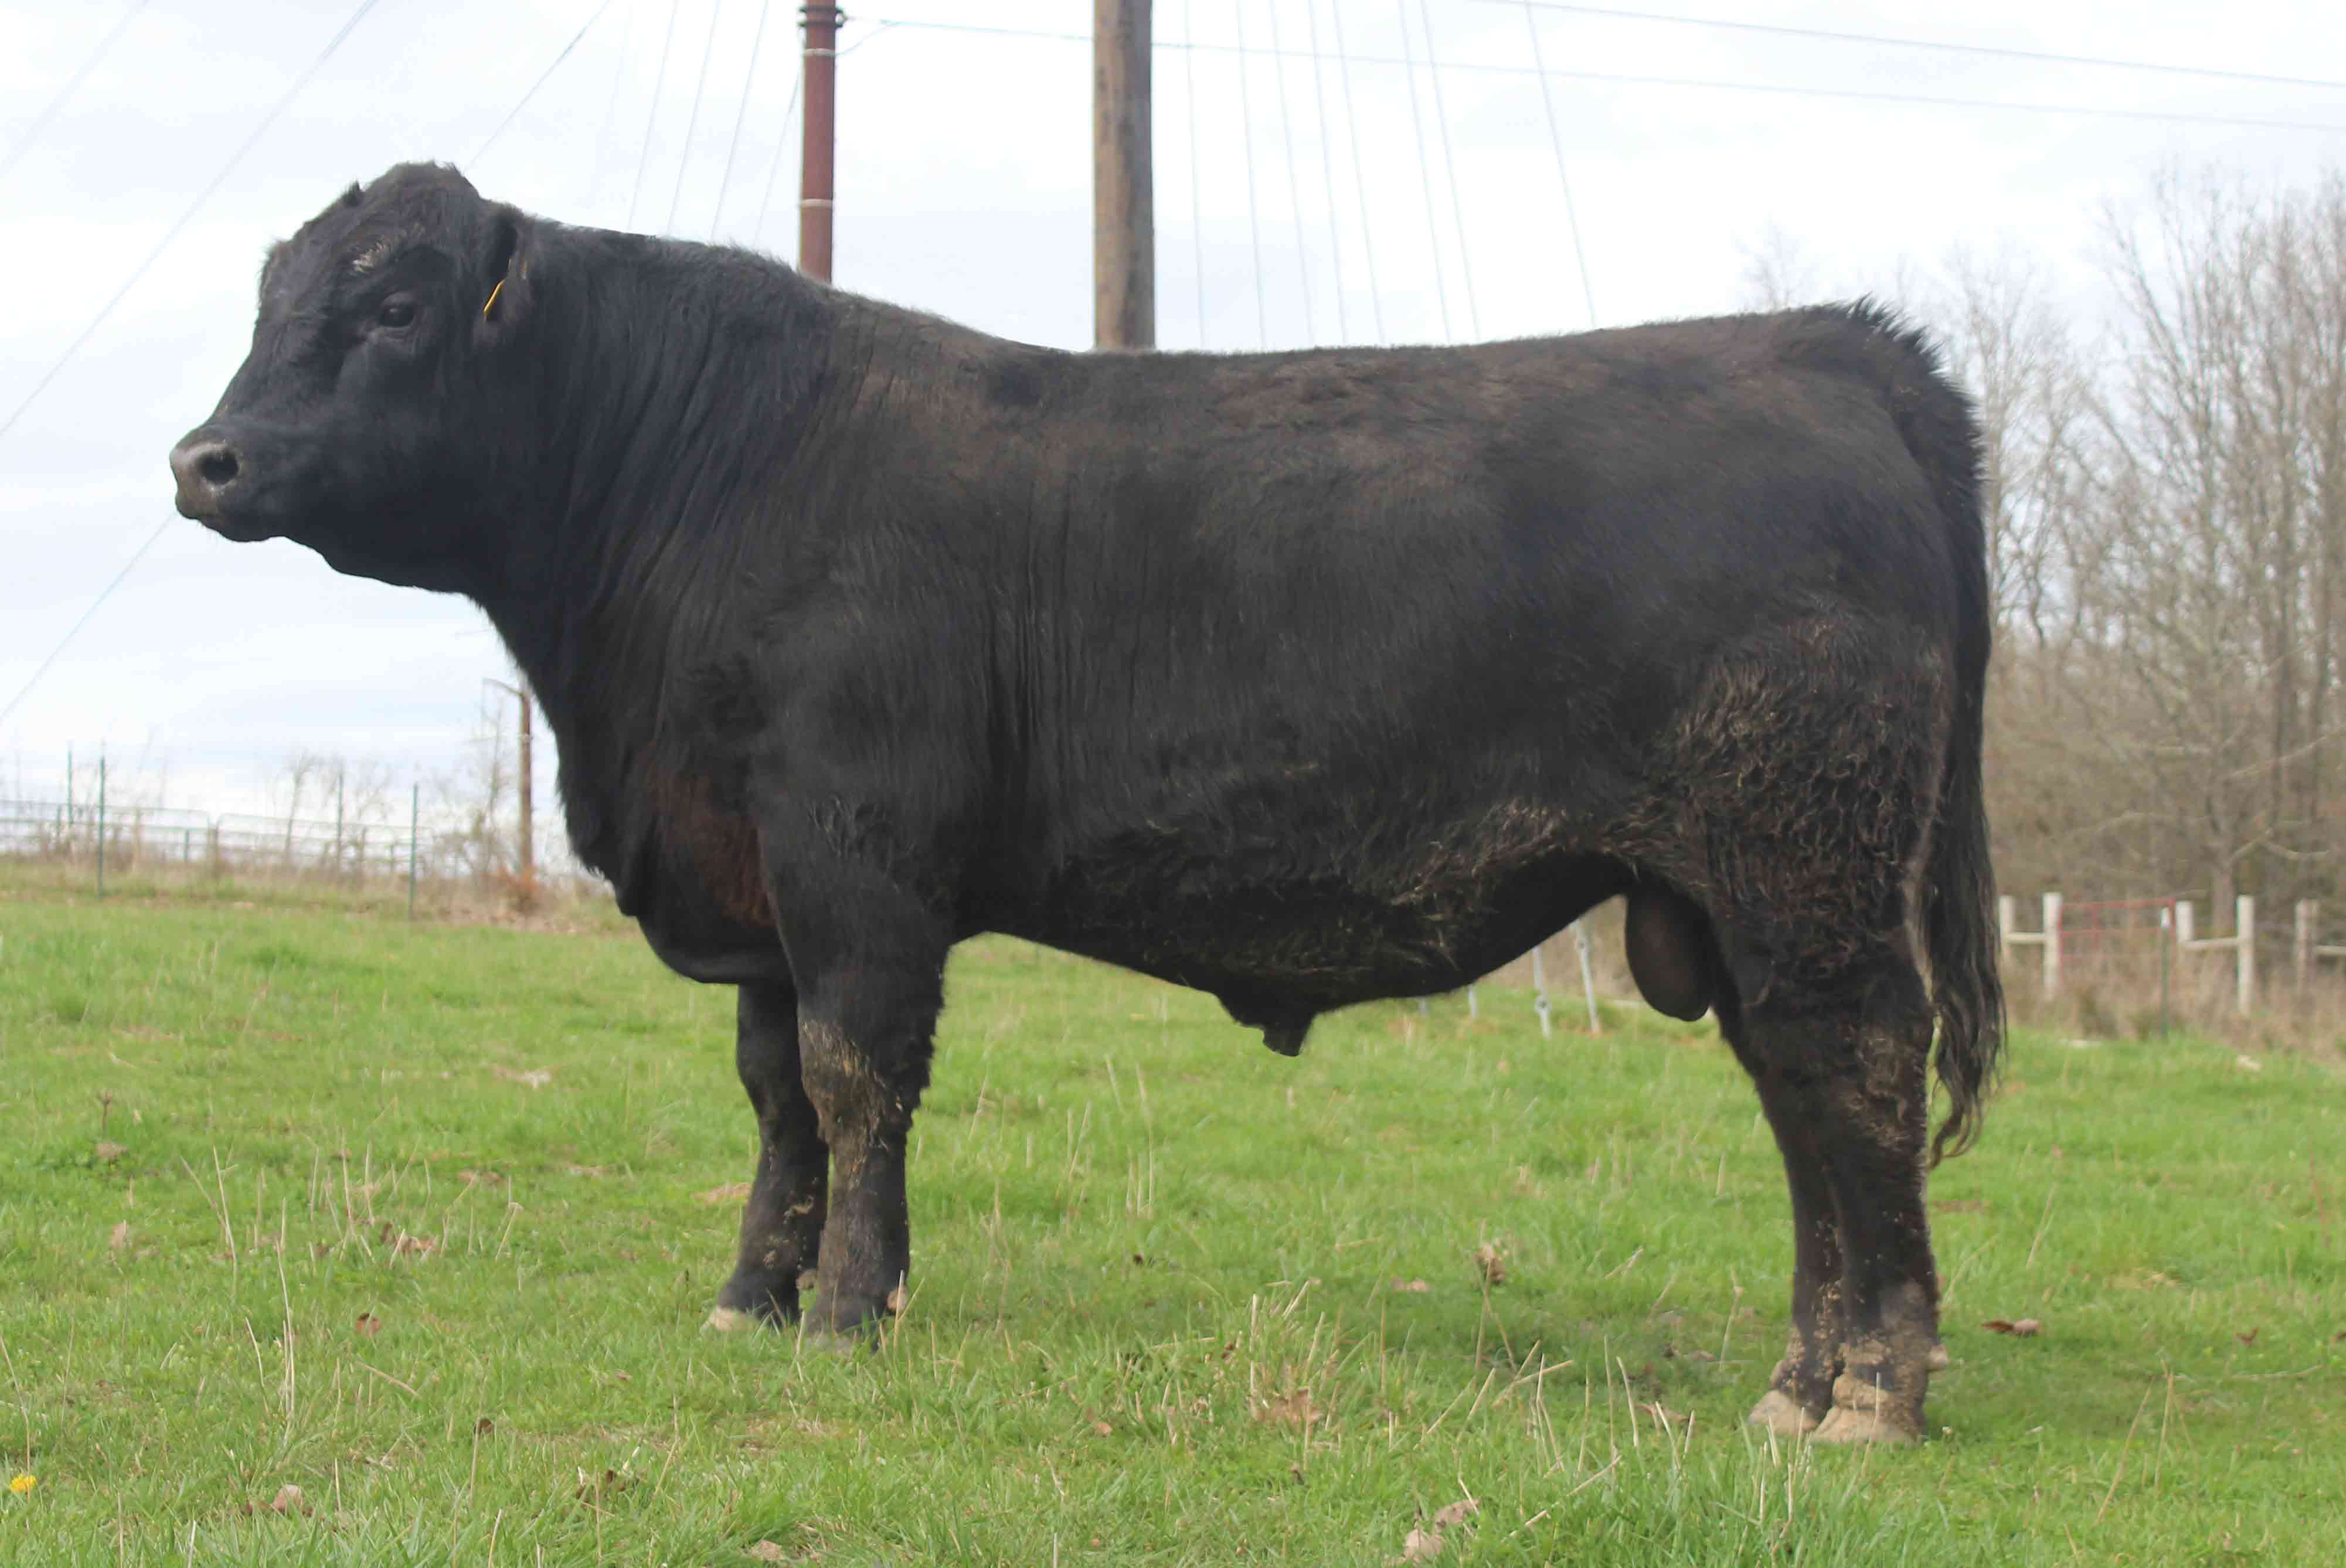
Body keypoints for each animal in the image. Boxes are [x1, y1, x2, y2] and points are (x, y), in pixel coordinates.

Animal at [170, 164, 2002, 1445]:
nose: (206, 460)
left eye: (396, 308)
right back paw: (1793, 1384)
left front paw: (847, 1313)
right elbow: (772, 1098)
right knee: (1800, 1110)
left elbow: (852, 1083)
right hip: (1731, 898)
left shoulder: (854, 866)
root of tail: (1828, 346)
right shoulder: (752, 885)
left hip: (1806, 871)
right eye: (268, 292)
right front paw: (751, 1295)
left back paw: (1871, 1397)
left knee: (1853, 1080)